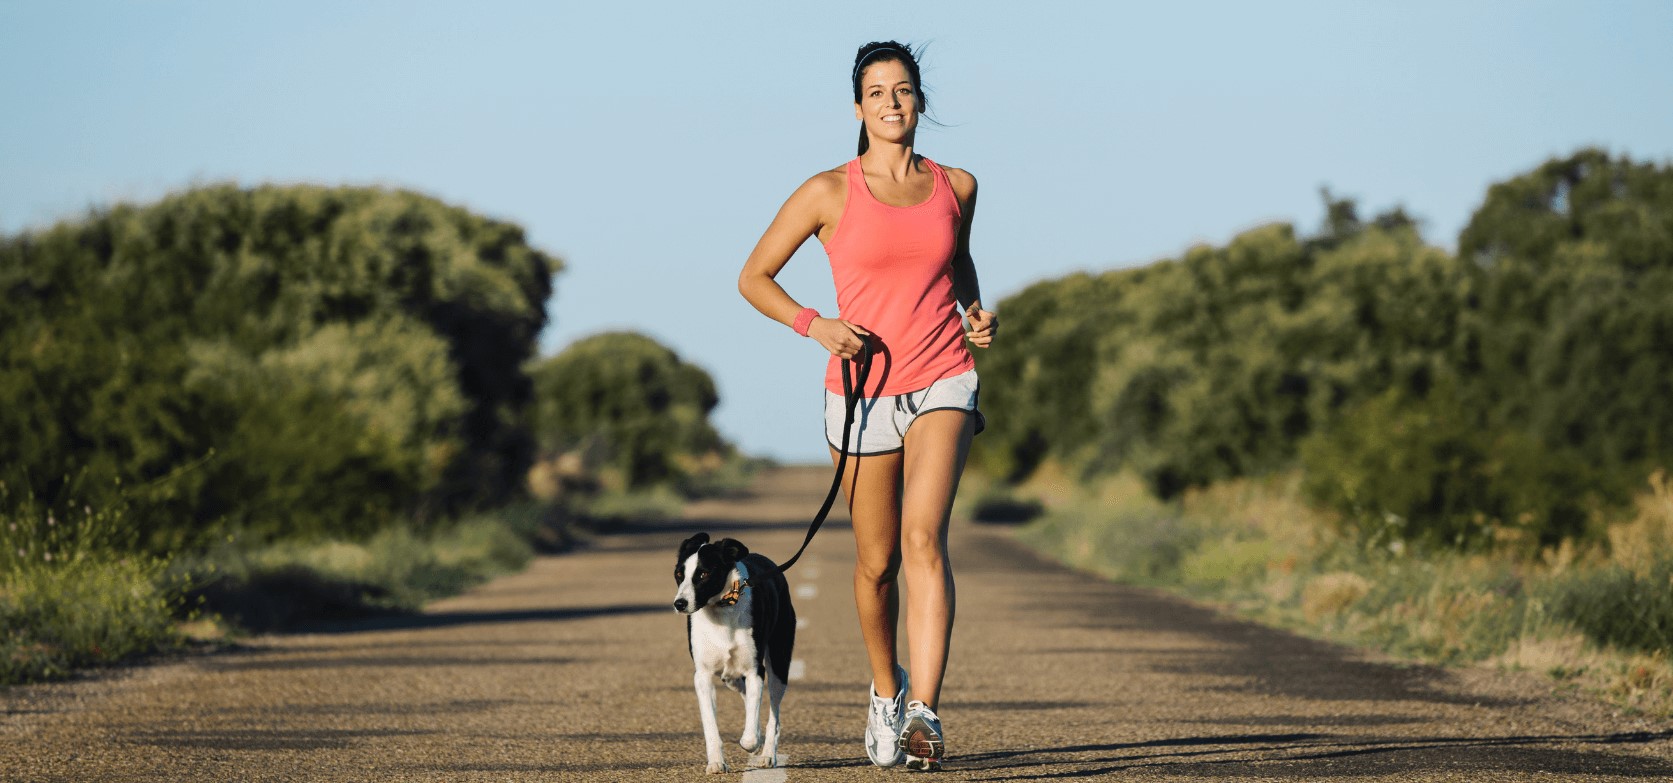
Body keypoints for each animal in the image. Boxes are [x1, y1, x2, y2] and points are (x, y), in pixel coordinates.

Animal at [669, 528, 793, 772]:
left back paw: (767, 755)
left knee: (774, 715)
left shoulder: (755, 671)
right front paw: (716, 762)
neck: (720, 611)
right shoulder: (703, 676)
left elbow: (751, 734)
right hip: (730, 678)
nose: (680, 604)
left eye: (704, 574)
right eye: (679, 574)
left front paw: (752, 743)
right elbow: (710, 725)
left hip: (779, 664)